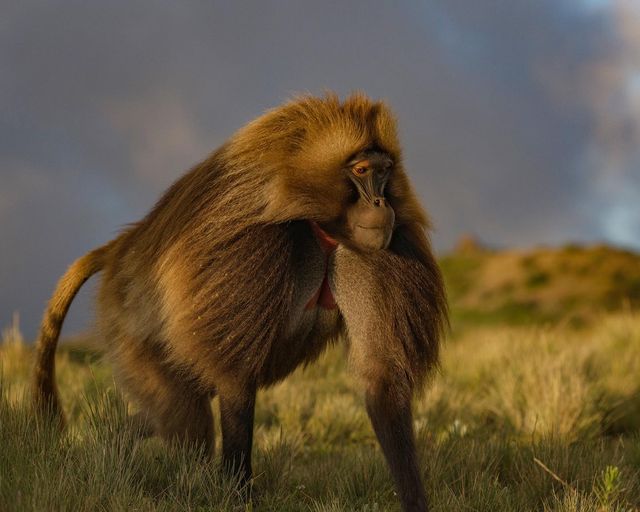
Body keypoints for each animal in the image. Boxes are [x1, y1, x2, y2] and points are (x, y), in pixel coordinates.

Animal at [34, 93, 447, 512]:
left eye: (385, 171)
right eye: (361, 170)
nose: (381, 203)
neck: (318, 222)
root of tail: (122, 247)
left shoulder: (378, 251)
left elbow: (382, 378)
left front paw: (415, 500)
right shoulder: (255, 247)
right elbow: (235, 376)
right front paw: (236, 494)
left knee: (165, 412)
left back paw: (109, 441)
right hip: (129, 329)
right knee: (186, 416)